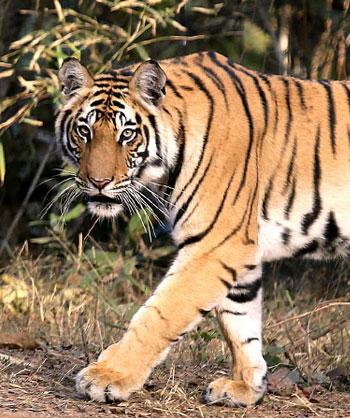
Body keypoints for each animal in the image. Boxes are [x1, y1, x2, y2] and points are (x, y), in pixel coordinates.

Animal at [54, 50, 350, 406]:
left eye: (127, 134)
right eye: (84, 130)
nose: (98, 183)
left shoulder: (214, 246)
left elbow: (159, 314)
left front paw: (108, 376)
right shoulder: (236, 247)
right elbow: (240, 323)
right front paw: (245, 387)